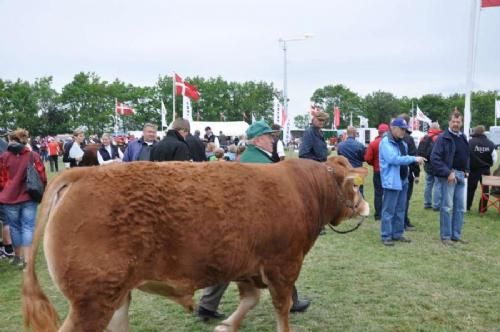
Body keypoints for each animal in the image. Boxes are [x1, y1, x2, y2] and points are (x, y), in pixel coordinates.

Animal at [22, 156, 368, 332]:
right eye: (355, 187)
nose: (366, 207)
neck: (302, 189)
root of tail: (82, 173)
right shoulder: (284, 264)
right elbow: (281, 308)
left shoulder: (244, 264)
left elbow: (251, 299)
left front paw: (226, 325)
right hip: (90, 301)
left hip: (114, 294)